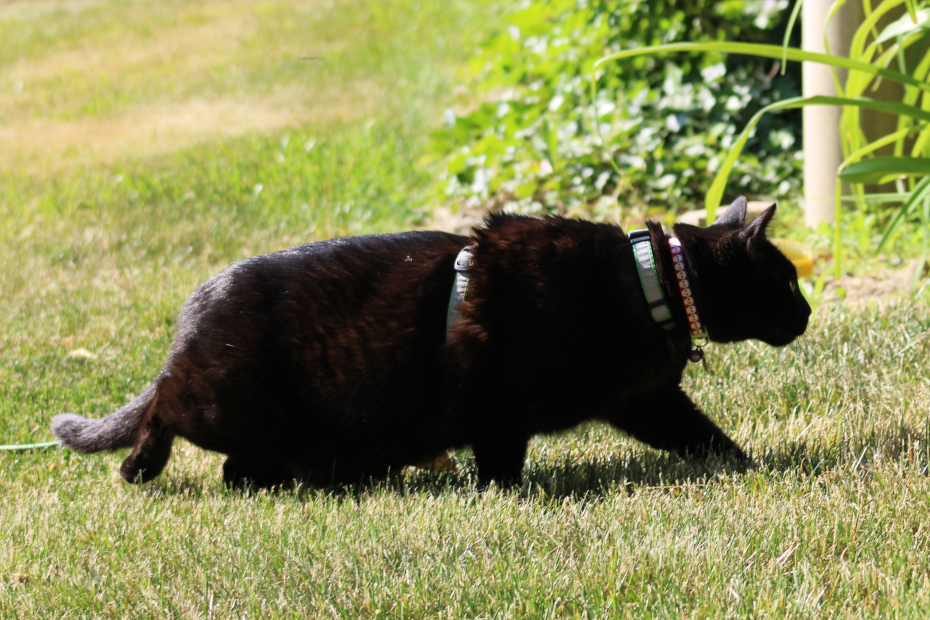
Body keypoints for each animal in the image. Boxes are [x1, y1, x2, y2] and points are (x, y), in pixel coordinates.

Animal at [50, 196, 808, 486]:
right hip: (225, 401)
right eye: (786, 278)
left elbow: (706, 436)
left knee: (241, 468)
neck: (650, 282)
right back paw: (139, 465)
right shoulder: (501, 406)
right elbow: (500, 463)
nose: (807, 311)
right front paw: (505, 498)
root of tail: (189, 319)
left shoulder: (643, 398)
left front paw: (752, 470)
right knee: (164, 410)